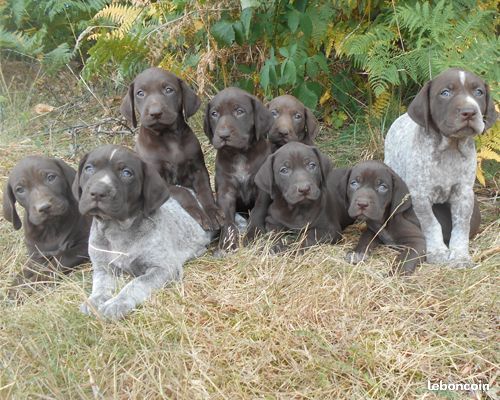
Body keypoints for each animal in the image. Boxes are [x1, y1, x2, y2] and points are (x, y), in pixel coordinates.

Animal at [120, 67, 222, 230]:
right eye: (140, 93)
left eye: (168, 90)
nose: (155, 113)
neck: (168, 137)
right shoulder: (160, 180)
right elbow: (183, 192)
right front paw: (199, 213)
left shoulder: (198, 169)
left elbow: (205, 191)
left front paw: (213, 212)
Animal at [203, 87, 274, 250]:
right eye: (214, 114)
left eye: (239, 111)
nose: (223, 135)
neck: (239, 154)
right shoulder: (226, 191)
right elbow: (228, 219)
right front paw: (227, 242)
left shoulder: (262, 190)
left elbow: (258, 211)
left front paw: (252, 235)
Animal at [382, 68, 492, 268]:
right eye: (445, 93)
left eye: (479, 92)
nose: (469, 112)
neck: (450, 149)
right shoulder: (420, 195)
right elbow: (432, 224)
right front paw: (438, 252)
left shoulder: (463, 194)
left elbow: (461, 226)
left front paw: (459, 256)